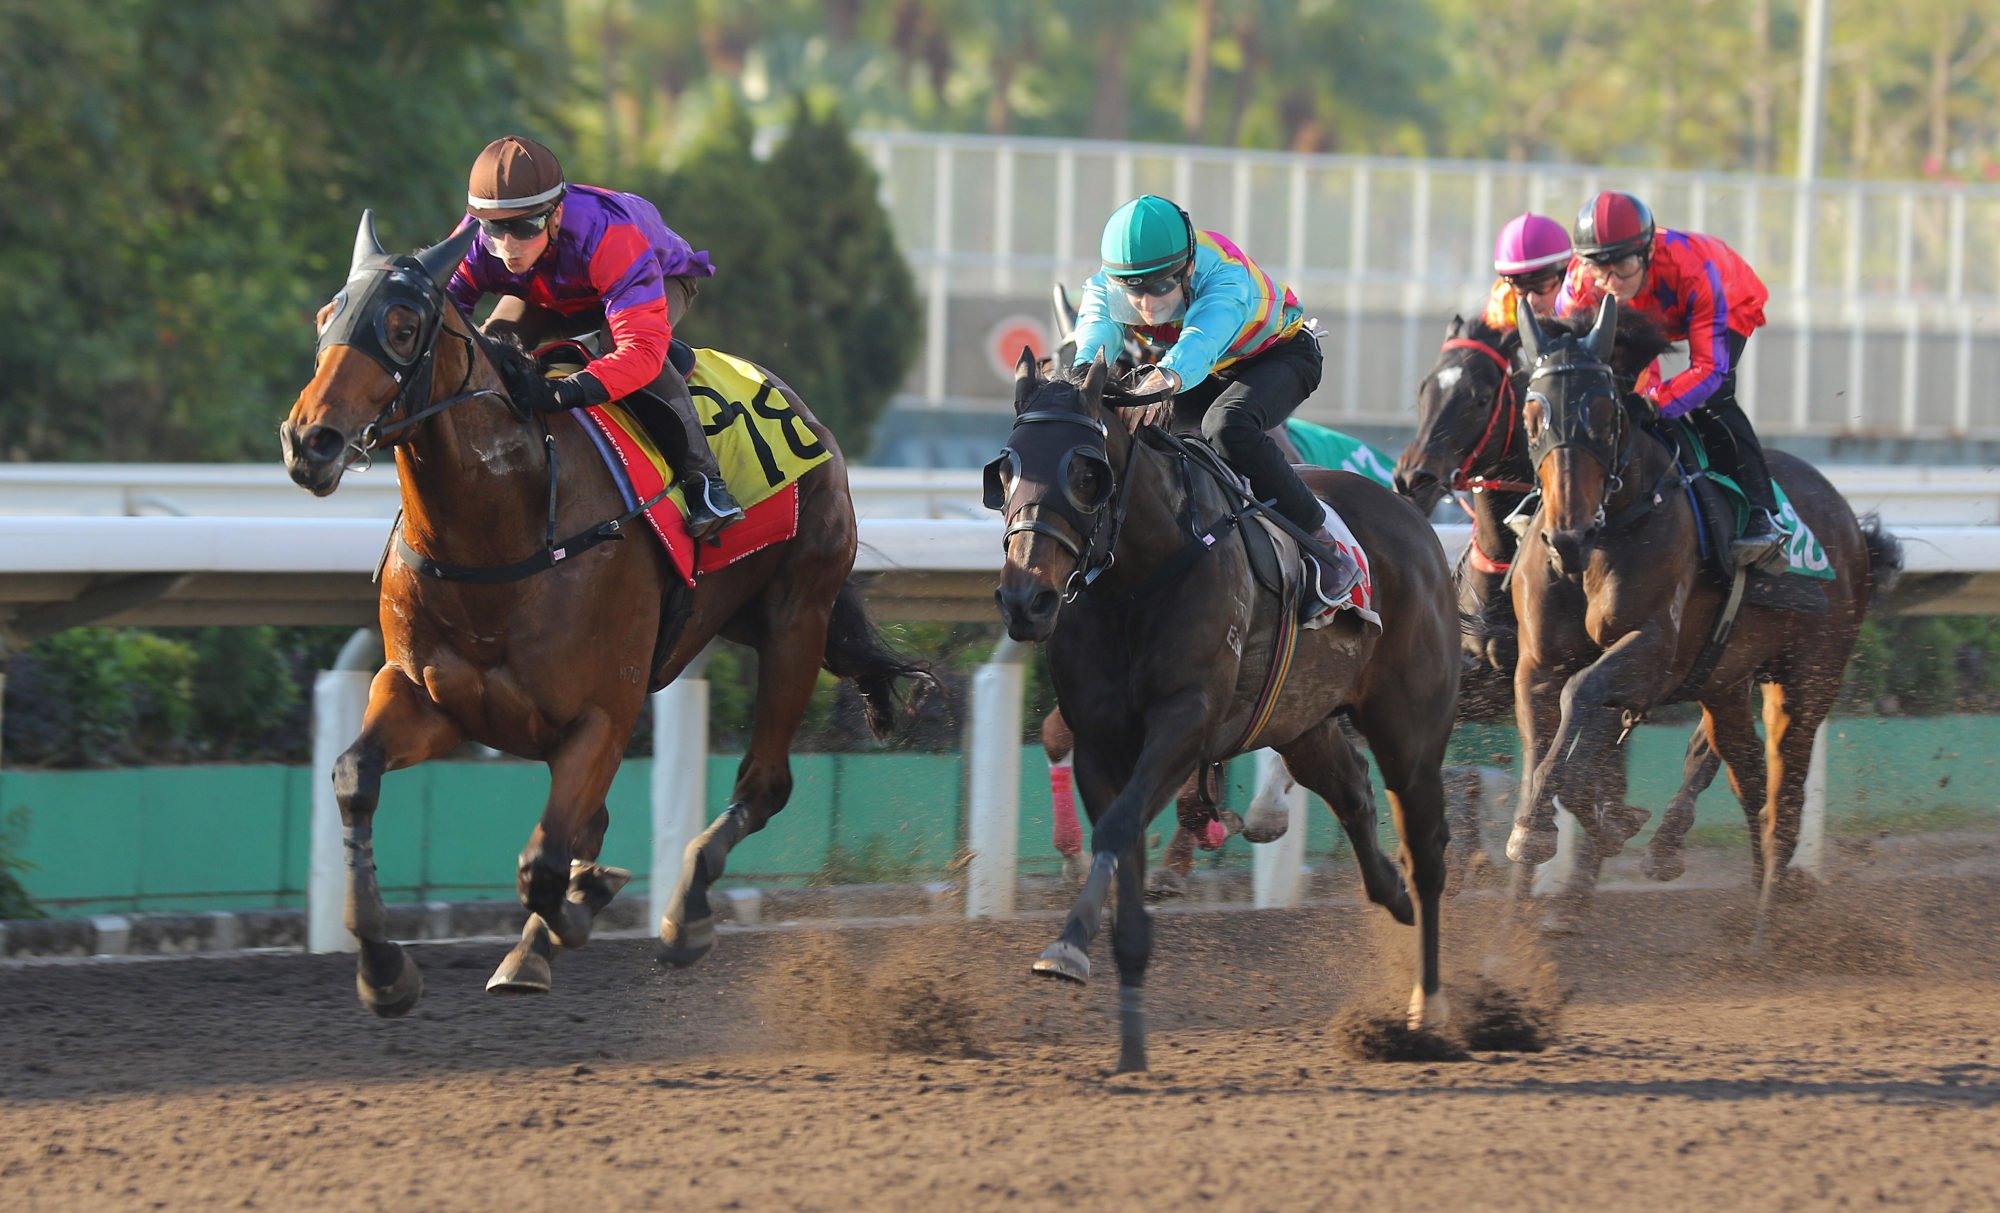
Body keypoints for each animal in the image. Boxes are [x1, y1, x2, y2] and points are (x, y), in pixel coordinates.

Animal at [282, 211, 928, 1016]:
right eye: (325, 317)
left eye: (402, 326)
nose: (309, 440)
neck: (504, 531)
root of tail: (803, 411)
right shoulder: (427, 697)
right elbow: (354, 778)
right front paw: (382, 965)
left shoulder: (600, 718)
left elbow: (543, 862)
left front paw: (577, 910)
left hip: (796, 617)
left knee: (763, 783)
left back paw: (684, 915)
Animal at [992, 352, 1464, 1072]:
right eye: (1005, 469)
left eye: (1086, 471)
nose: (1026, 599)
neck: (1138, 578)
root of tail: (1410, 513)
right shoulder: (1101, 744)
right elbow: (1122, 850)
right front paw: (1130, 1047)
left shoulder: (1185, 723)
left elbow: (1120, 828)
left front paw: (1066, 948)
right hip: (1302, 720)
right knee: (1354, 792)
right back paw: (1389, 893)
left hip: (1410, 729)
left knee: (1427, 848)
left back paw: (1427, 1008)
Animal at [1504, 300, 1896, 936]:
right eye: (1533, 414)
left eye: (1604, 413)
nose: (1566, 534)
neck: (1606, 534)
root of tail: (1846, 519)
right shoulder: (1538, 663)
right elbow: (1555, 748)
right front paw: (1570, 830)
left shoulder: (1654, 651)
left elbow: (1579, 697)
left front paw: (1556, 833)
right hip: (1725, 684)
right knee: (1750, 779)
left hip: (1807, 682)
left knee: (1783, 800)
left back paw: (1767, 928)